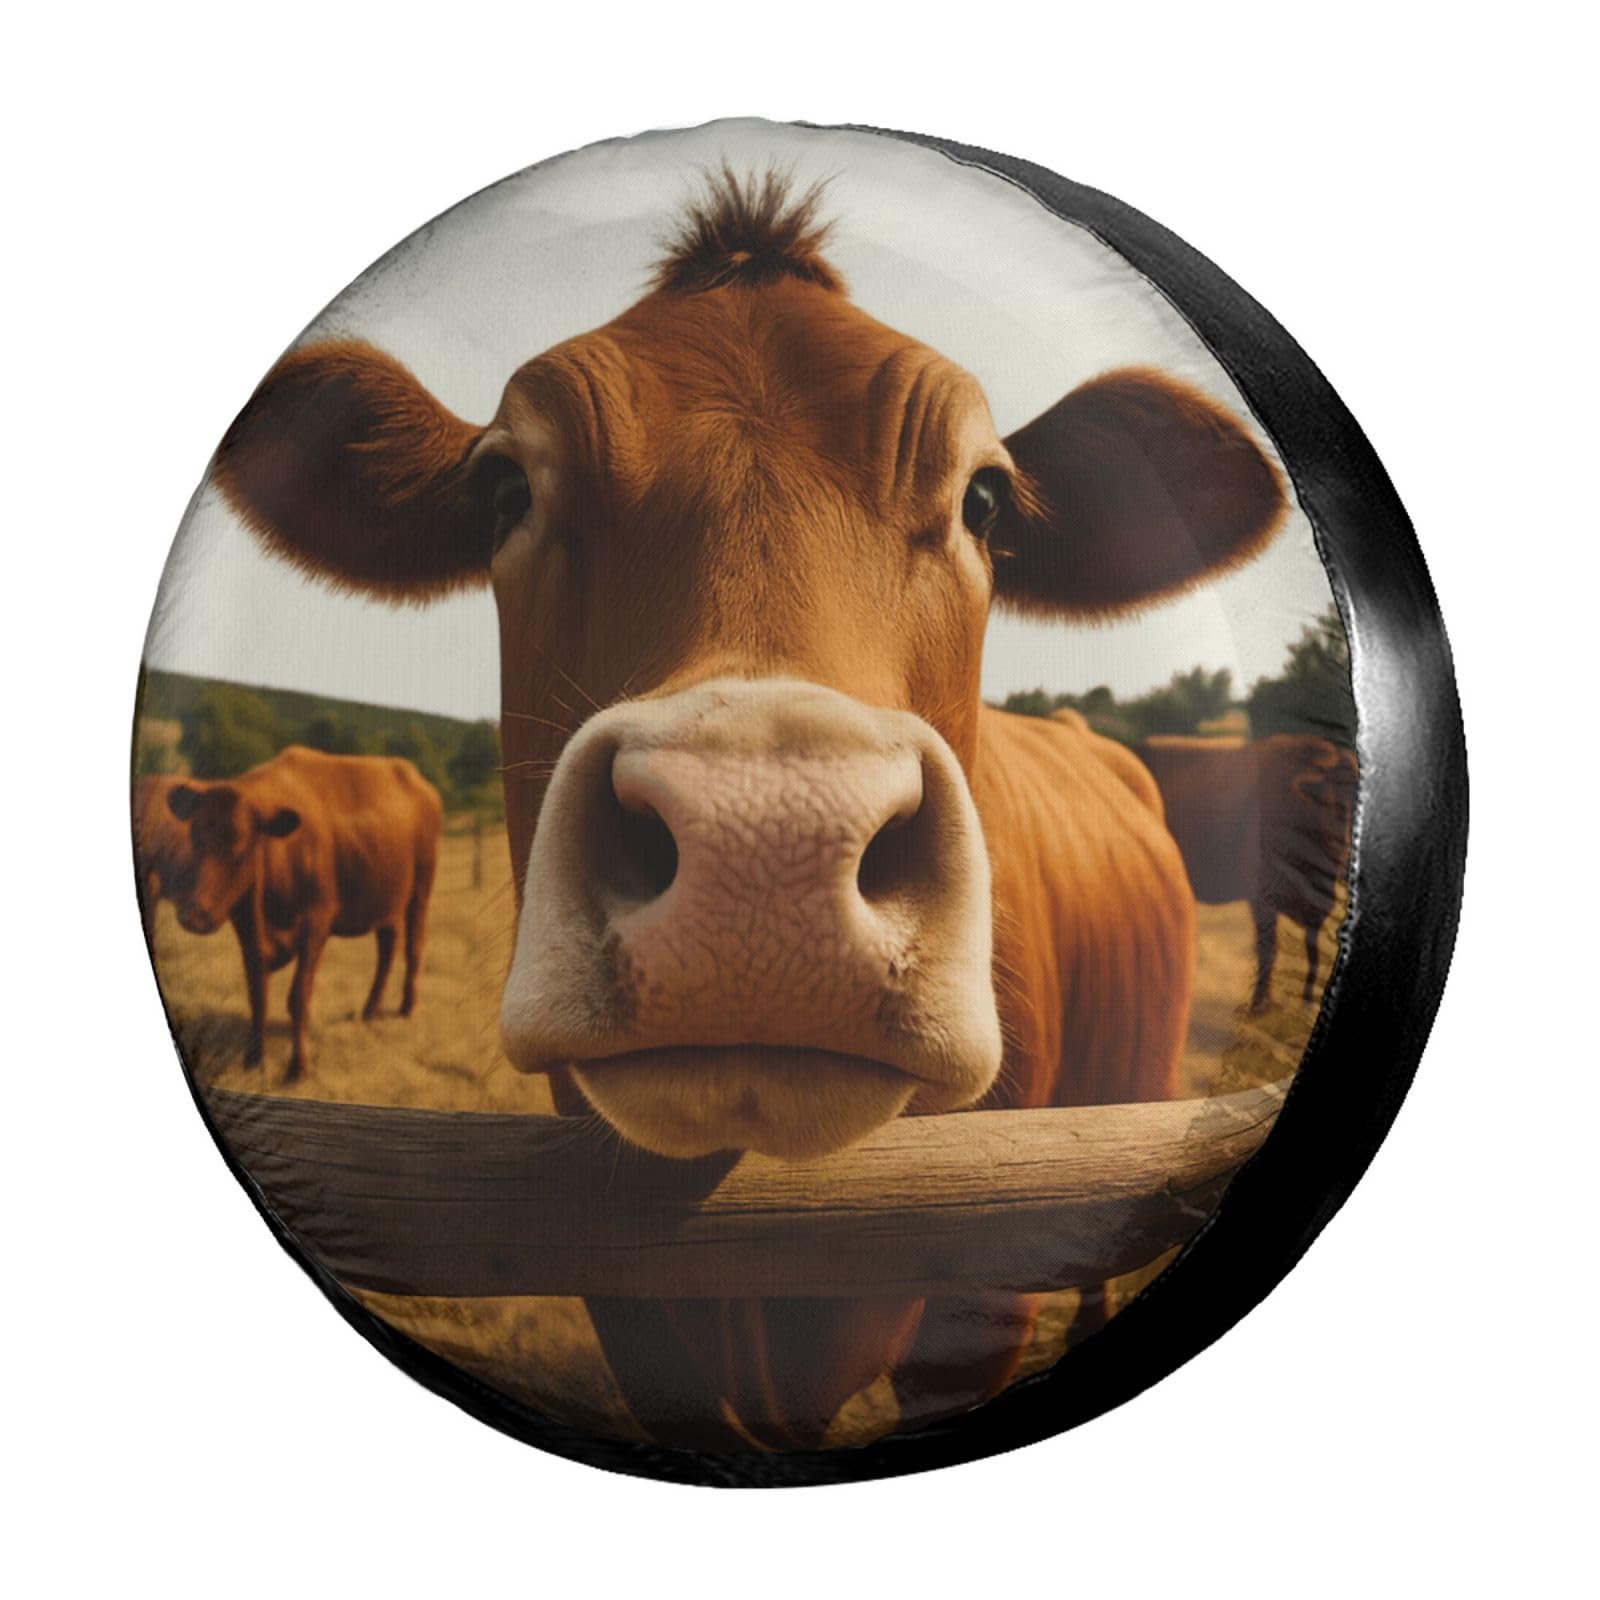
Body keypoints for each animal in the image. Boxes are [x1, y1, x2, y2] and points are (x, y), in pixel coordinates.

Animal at [163, 747, 442, 1080]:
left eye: (242, 847)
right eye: (194, 837)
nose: (194, 915)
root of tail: (417, 779)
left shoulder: (316, 923)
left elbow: (298, 997)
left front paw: (298, 1067)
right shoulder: (246, 925)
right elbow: (257, 994)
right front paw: (253, 1060)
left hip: (420, 889)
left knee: (414, 946)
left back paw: (406, 1007)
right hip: (386, 899)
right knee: (387, 947)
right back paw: (369, 1010)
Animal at [1137, 734, 1358, 1012]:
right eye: (1332, 803)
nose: (1347, 849)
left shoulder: (1316, 907)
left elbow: (1312, 950)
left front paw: (1307, 1000)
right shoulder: (1262, 901)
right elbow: (1267, 949)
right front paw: (1258, 1003)